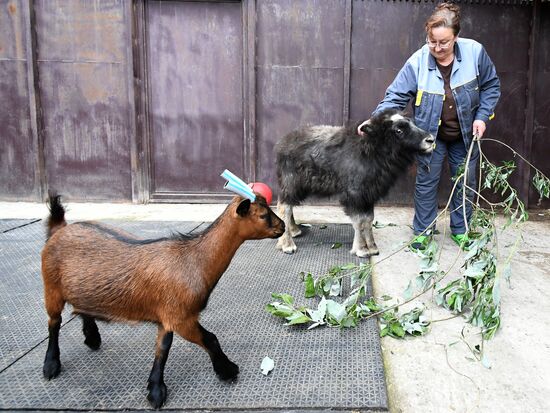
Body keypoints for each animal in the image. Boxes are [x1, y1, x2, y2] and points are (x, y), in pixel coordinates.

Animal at [41, 193, 286, 406]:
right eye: (262, 215)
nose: (282, 227)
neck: (193, 259)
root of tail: (60, 229)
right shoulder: (181, 317)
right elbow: (210, 339)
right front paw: (227, 370)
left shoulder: (167, 315)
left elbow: (163, 348)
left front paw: (155, 389)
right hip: (51, 288)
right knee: (54, 323)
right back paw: (51, 365)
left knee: (80, 308)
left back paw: (92, 337)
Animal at [276, 108, 436, 258]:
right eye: (399, 130)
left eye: (412, 123)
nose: (430, 140)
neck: (372, 149)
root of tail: (283, 143)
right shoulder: (355, 195)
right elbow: (359, 221)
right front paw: (362, 249)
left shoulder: (369, 195)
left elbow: (369, 219)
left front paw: (373, 247)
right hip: (291, 183)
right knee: (285, 208)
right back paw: (288, 245)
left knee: (287, 206)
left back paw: (295, 230)